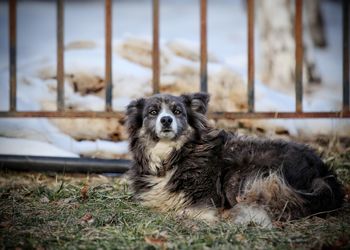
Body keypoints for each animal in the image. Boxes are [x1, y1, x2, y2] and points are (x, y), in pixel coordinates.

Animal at [124, 92, 344, 227]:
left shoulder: (206, 200)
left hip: (239, 175)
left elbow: (184, 211)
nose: (166, 120)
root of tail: (323, 173)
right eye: (153, 112)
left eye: (177, 112)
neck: (172, 155)